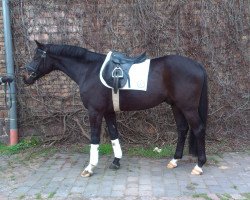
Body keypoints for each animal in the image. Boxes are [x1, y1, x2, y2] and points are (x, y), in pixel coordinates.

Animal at [23, 41, 208, 177]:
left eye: (37, 57)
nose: (26, 77)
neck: (89, 70)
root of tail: (198, 65)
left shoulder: (95, 112)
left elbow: (95, 138)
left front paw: (90, 168)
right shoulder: (108, 111)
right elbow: (113, 134)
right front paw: (116, 161)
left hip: (188, 107)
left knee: (198, 129)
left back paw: (199, 165)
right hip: (176, 106)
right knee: (182, 129)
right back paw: (174, 161)